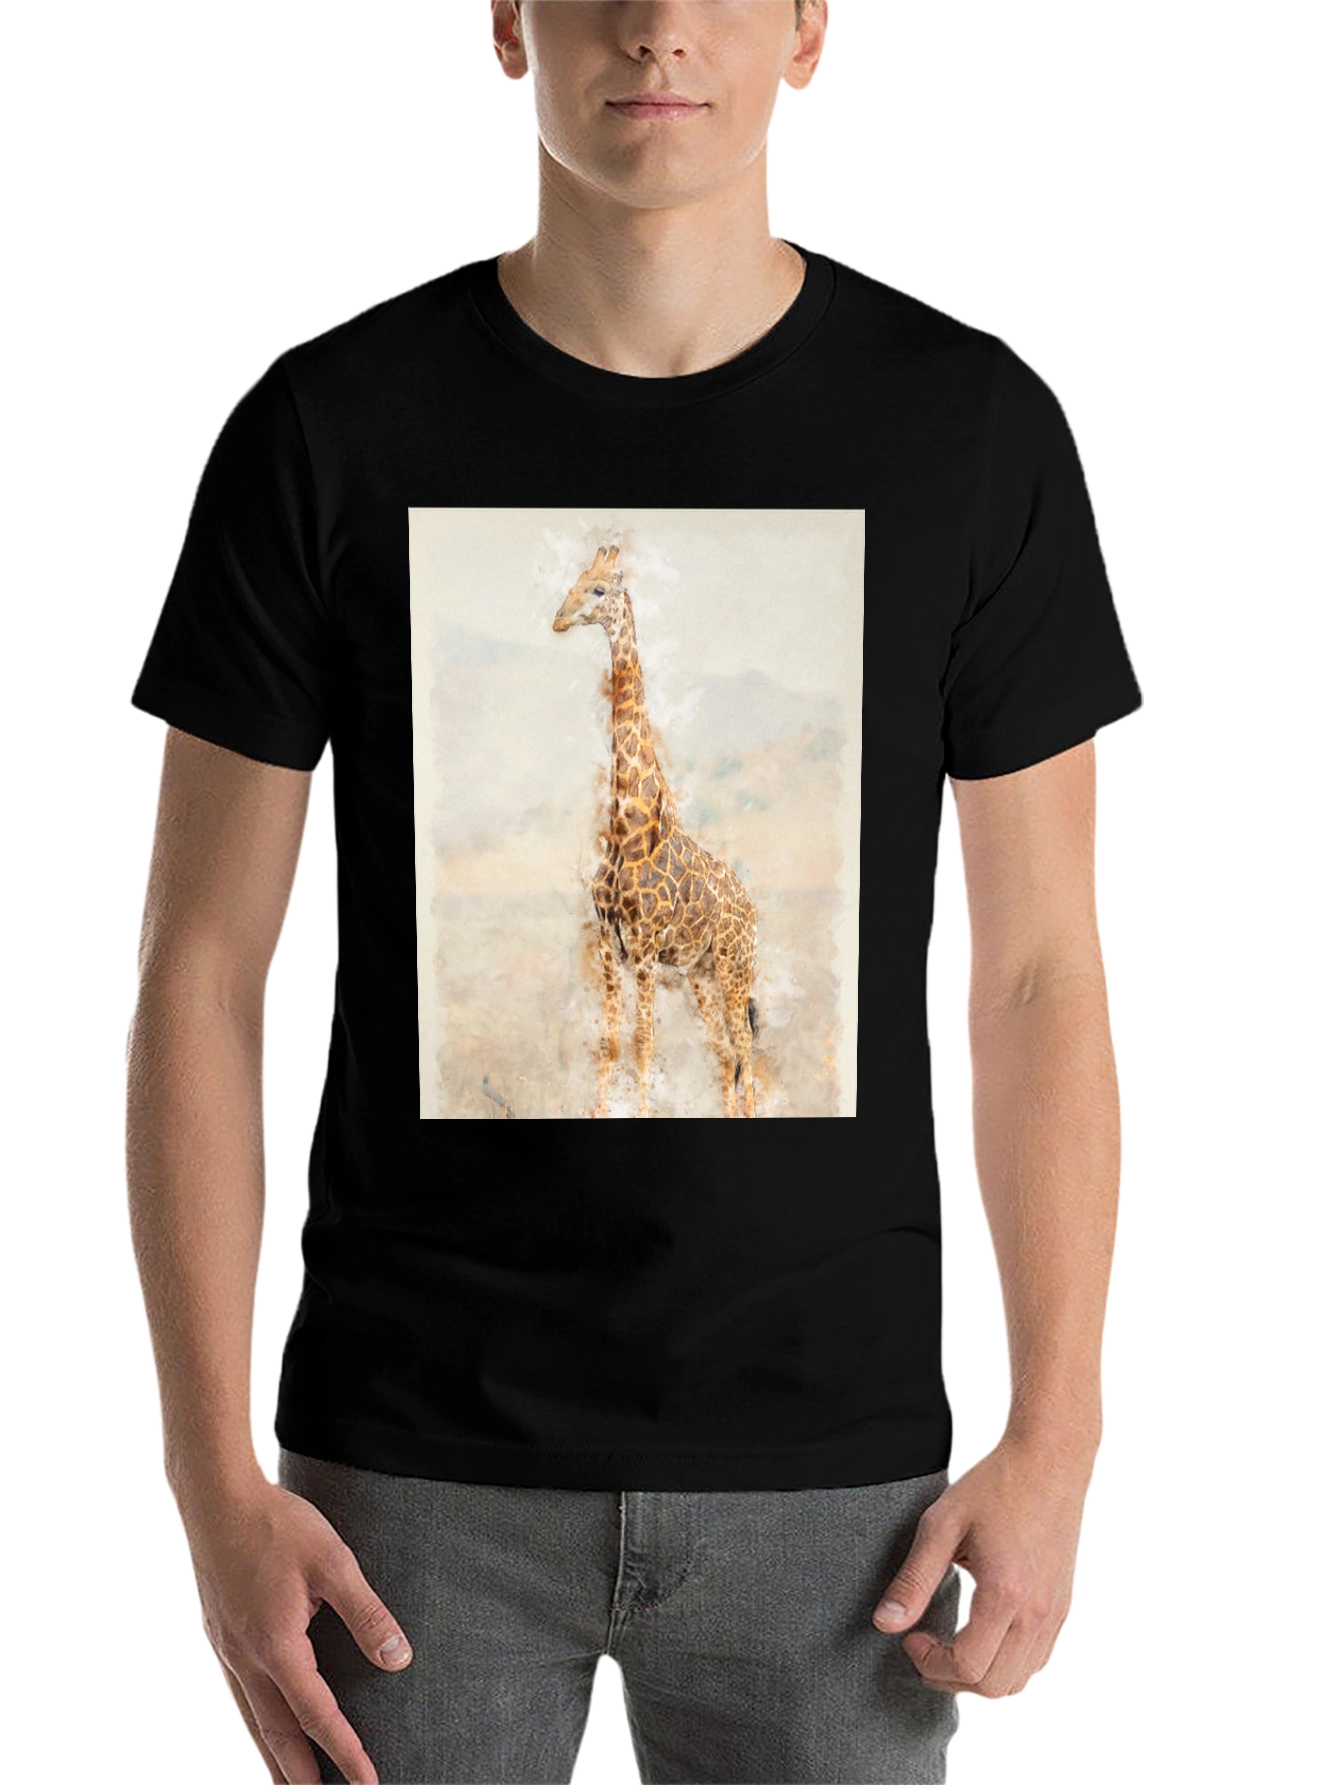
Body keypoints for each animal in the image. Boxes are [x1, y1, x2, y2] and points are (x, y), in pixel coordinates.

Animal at [553, 543, 760, 1118]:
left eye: (599, 589)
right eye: (574, 582)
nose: (559, 618)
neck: (628, 827)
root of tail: (754, 913)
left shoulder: (644, 946)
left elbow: (644, 1042)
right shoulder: (609, 942)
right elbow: (611, 1042)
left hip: (735, 968)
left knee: (746, 1052)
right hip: (701, 974)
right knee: (724, 1057)